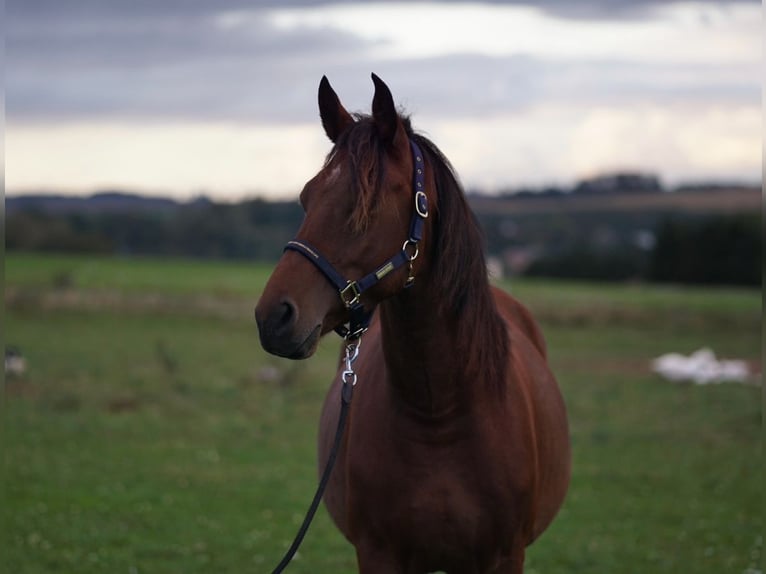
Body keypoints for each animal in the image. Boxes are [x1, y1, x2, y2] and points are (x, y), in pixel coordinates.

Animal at [256, 74, 568, 572]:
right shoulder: (378, 554)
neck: (439, 415)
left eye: (367, 203)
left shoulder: (504, 556)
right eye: (308, 196)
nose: (273, 316)